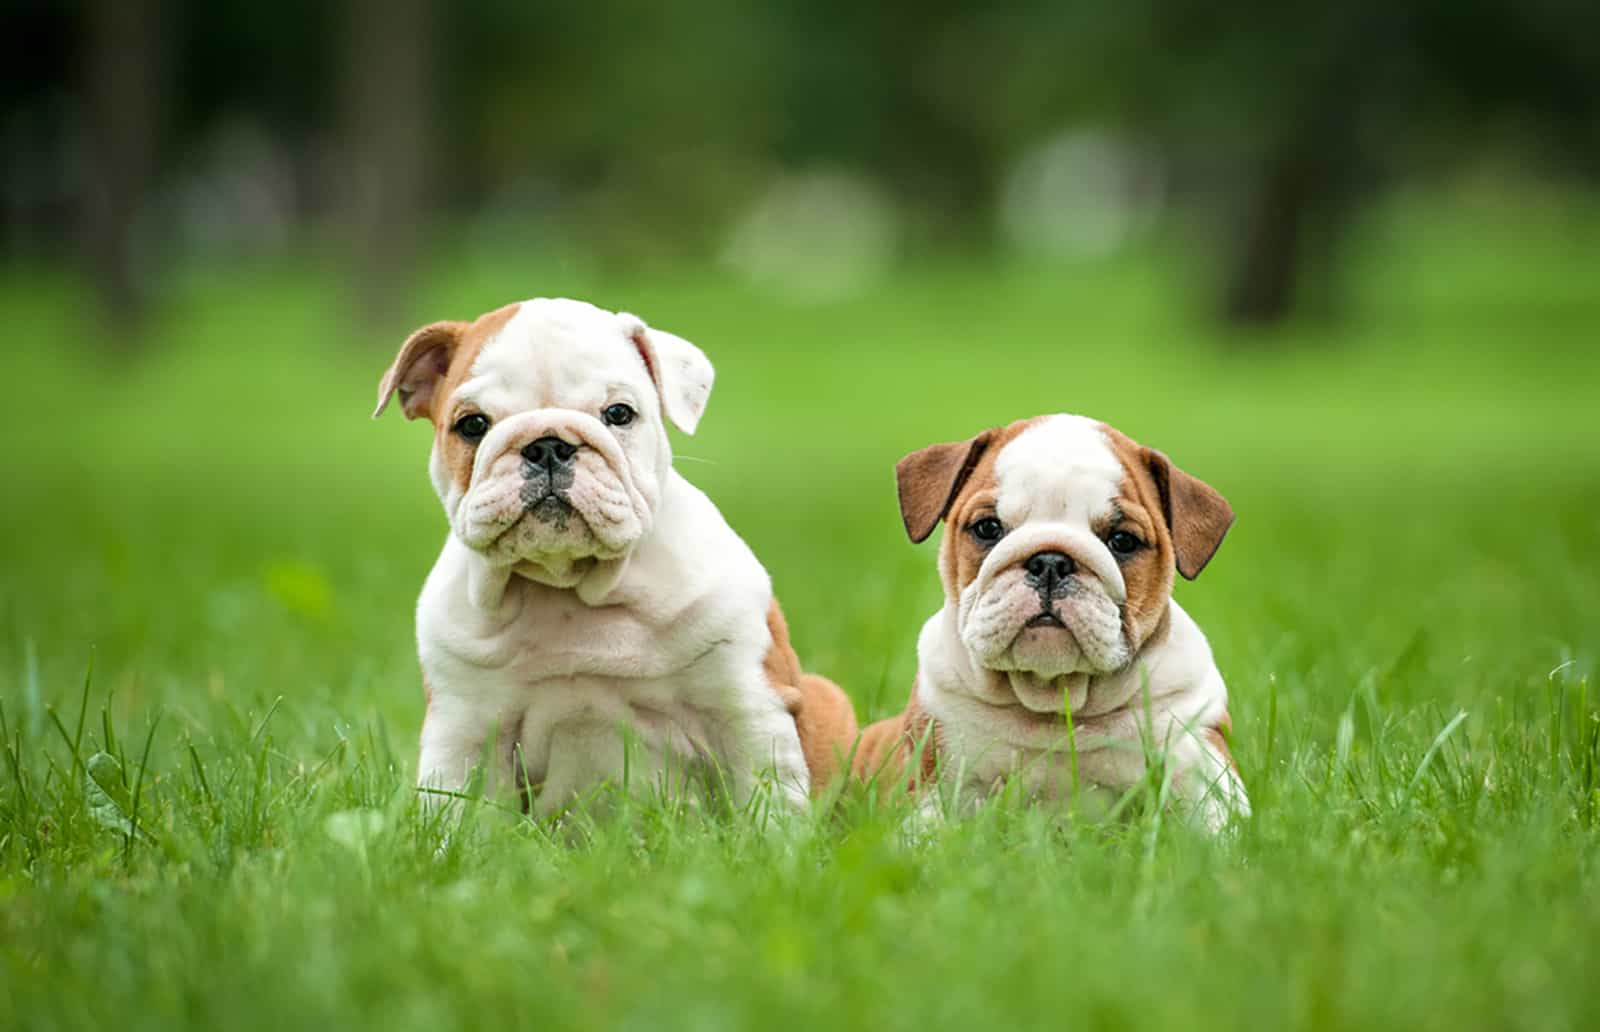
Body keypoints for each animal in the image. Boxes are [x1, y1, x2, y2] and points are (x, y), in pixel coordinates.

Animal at [374, 299, 857, 819]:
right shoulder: (464, 730)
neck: (568, 588)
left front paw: (774, 838)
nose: (548, 445)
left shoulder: (745, 703)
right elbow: (456, 810)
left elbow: (768, 800)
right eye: (472, 425)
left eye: (619, 413)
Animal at [851, 416, 1248, 825]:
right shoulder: (936, 770)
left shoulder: (1199, 752)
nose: (1050, 562)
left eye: (1122, 540)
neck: (1053, 698)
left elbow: (1218, 818)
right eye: (988, 528)